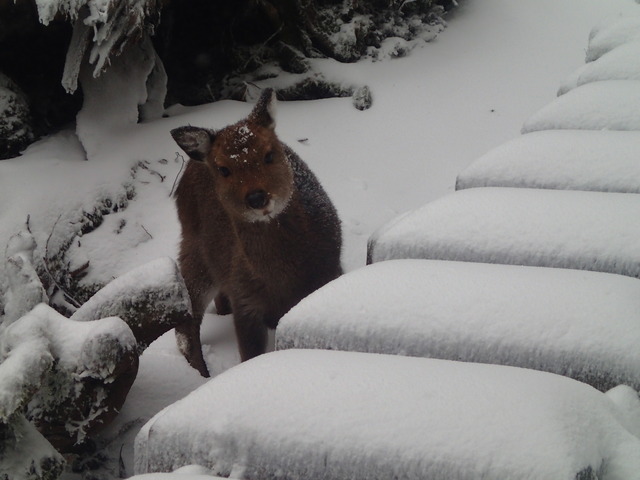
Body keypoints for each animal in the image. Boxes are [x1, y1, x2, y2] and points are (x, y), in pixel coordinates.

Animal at [169, 88, 340, 376]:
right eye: (224, 169)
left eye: (269, 154)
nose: (257, 197)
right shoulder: (245, 303)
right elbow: (249, 357)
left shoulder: (331, 275)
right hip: (193, 249)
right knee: (186, 321)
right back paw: (201, 373)